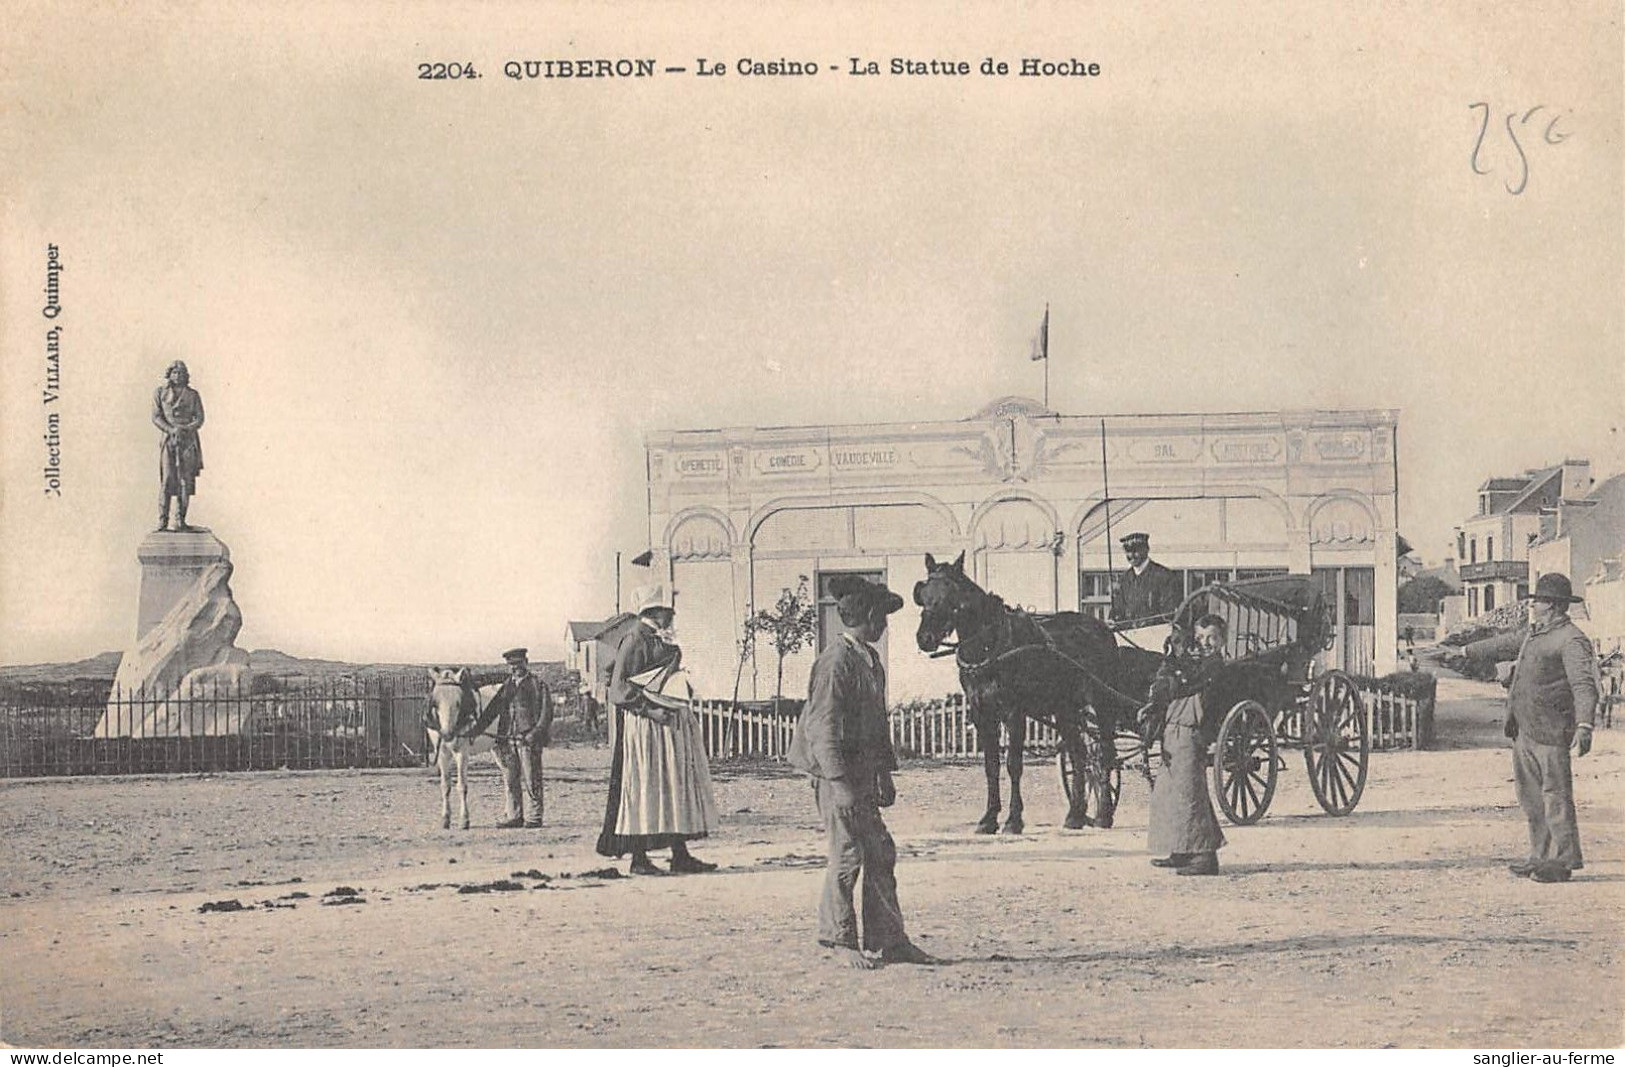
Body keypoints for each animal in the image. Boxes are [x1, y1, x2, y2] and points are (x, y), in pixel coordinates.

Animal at [425, 665, 507, 831]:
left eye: (459, 702)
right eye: (435, 703)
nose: (447, 734)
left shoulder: (462, 753)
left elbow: (462, 786)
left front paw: (464, 820)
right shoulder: (442, 753)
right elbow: (445, 785)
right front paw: (445, 819)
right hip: (498, 748)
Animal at [910, 552, 1163, 838]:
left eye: (951, 595)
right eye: (923, 594)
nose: (925, 638)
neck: (992, 645)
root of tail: (1103, 629)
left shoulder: (1014, 712)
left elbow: (1013, 764)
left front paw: (1013, 820)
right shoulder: (982, 713)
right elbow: (991, 766)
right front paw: (988, 818)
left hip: (1102, 705)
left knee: (1105, 755)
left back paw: (1103, 814)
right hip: (1066, 710)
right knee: (1080, 755)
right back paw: (1076, 815)